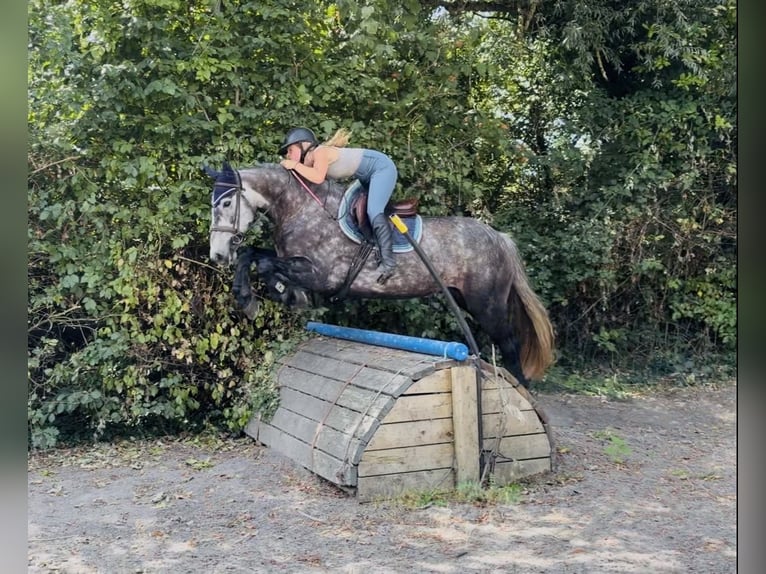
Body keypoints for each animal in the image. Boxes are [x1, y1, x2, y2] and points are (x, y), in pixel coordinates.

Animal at [206, 162, 554, 388]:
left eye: (226, 202)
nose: (218, 255)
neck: (301, 209)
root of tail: (499, 237)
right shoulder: (292, 260)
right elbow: (253, 255)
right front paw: (250, 296)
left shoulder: (321, 274)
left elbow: (266, 265)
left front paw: (279, 293)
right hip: (466, 299)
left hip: (487, 303)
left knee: (510, 343)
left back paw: (521, 393)